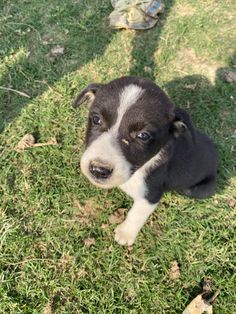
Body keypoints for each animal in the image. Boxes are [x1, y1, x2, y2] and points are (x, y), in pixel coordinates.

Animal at [72, 76, 218, 245]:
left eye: (143, 135)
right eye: (96, 119)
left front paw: (125, 234)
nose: (98, 170)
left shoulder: (151, 195)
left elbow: (136, 214)